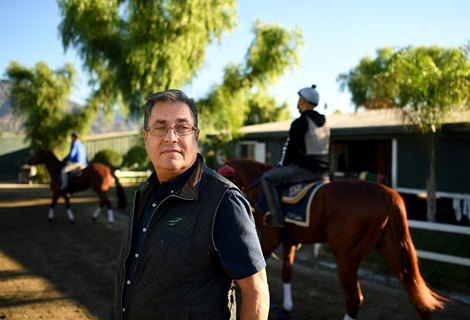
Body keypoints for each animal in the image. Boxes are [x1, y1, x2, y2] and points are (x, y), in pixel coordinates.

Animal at [229, 159, 448, 320]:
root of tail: (382, 191)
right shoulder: (289, 242)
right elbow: (286, 273)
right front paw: (286, 309)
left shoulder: (267, 241)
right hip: (392, 249)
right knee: (416, 294)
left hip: (346, 257)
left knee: (354, 299)